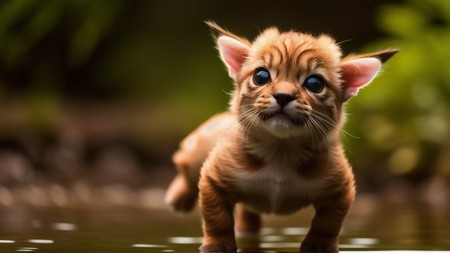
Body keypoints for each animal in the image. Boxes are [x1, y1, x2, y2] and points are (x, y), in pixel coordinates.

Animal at [163, 22, 396, 253]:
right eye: (261, 77)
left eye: (314, 83)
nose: (283, 96)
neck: (281, 148)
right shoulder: (212, 178)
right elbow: (217, 218)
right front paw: (217, 245)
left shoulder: (342, 187)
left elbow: (328, 222)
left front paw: (319, 245)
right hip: (198, 149)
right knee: (184, 160)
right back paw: (177, 197)